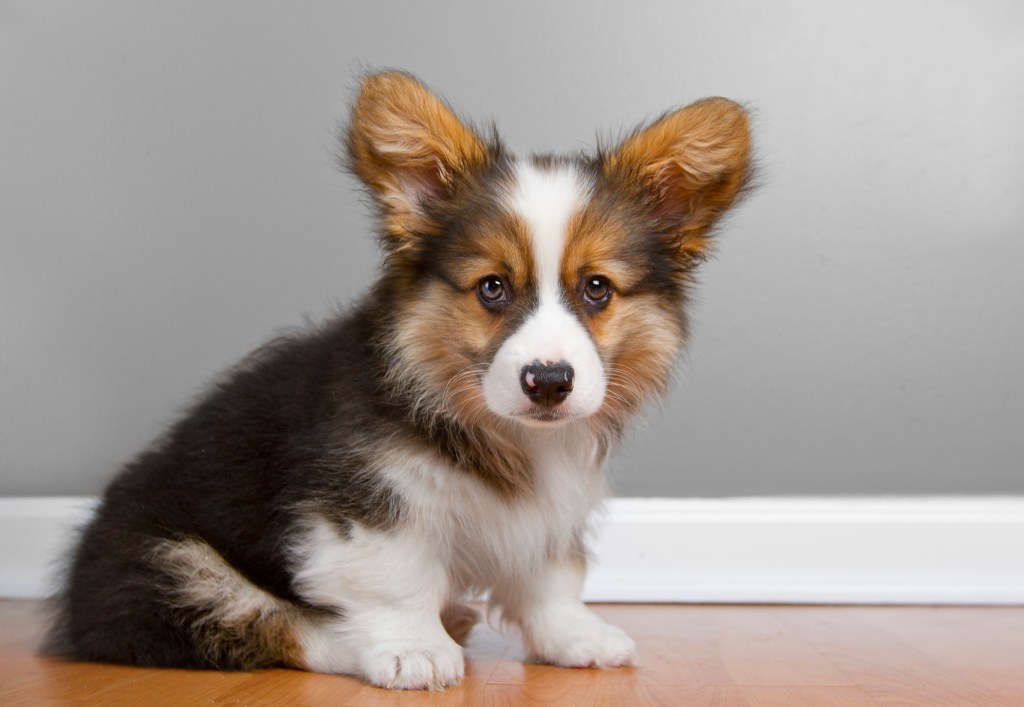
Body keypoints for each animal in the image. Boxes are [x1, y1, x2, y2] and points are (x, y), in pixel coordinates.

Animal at [46, 71, 753, 688]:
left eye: (598, 289)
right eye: (492, 288)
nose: (549, 381)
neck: (504, 431)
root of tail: (75, 599)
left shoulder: (552, 509)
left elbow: (550, 577)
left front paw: (574, 638)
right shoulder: (364, 503)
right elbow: (394, 581)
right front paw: (413, 650)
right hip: (171, 568)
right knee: (273, 626)